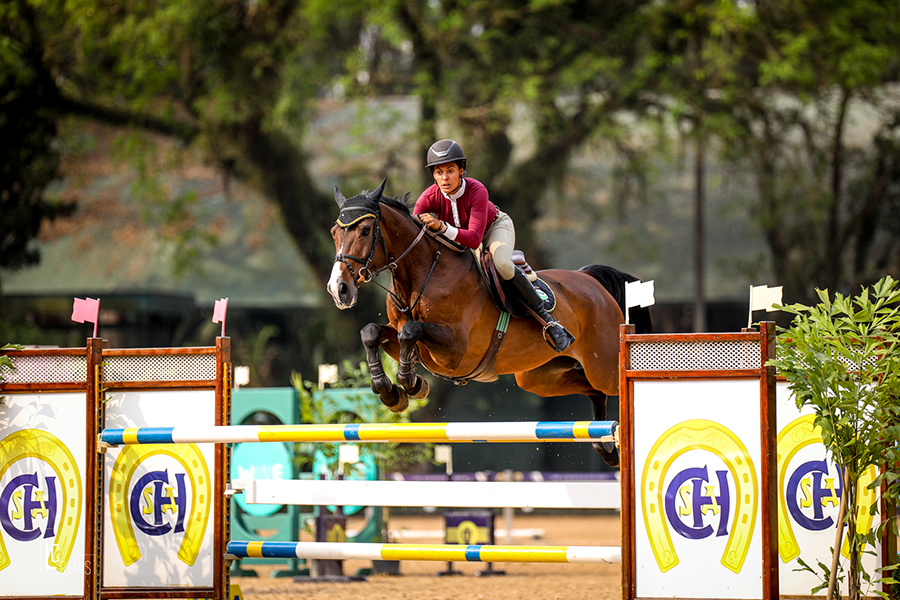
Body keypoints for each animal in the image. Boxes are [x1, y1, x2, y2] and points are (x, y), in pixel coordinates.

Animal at [326, 180, 652, 466]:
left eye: (366, 230)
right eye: (334, 233)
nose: (339, 289)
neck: (420, 276)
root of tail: (589, 279)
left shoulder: (455, 351)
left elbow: (410, 330)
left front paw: (412, 384)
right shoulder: (408, 341)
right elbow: (371, 332)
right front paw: (392, 393)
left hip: (605, 366)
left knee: (613, 386)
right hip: (539, 377)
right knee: (593, 391)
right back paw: (607, 449)